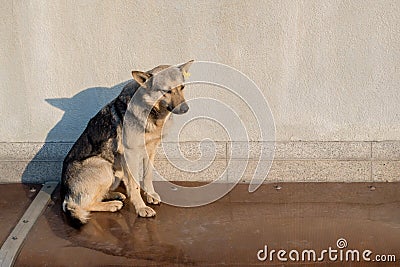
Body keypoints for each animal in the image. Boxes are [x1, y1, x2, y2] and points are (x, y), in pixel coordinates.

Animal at [61, 59, 194, 225]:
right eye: (167, 91)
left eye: (182, 87)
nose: (185, 109)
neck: (151, 111)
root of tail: (66, 196)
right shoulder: (131, 154)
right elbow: (135, 185)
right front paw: (141, 208)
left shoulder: (151, 150)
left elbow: (147, 176)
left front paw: (150, 194)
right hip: (103, 167)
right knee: (84, 205)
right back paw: (112, 204)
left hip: (116, 174)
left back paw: (114, 195)